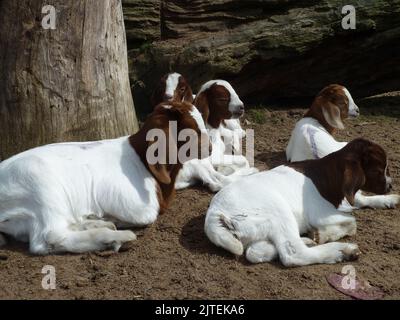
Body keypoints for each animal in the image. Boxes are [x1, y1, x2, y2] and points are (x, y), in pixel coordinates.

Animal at [0, 101, 209, 254]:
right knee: (50, 237)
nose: (210, 147)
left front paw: (97, 217)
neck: (140, 159)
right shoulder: (131, 203)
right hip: (42, 191)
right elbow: (147, 217)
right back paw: (114, 238)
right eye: (191, 130)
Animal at [206, 139, 396, 266]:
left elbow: (359, 199)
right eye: (379, 170)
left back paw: (306, 241)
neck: (325, 176)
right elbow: (352, 222)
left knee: (255, 252)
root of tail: (215, 216)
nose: (390, 185)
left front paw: (389, 199)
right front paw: (323, 234)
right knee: (293, 254)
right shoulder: (322, 214)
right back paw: (343, 251)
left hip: (256, 230)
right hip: (277, 211)